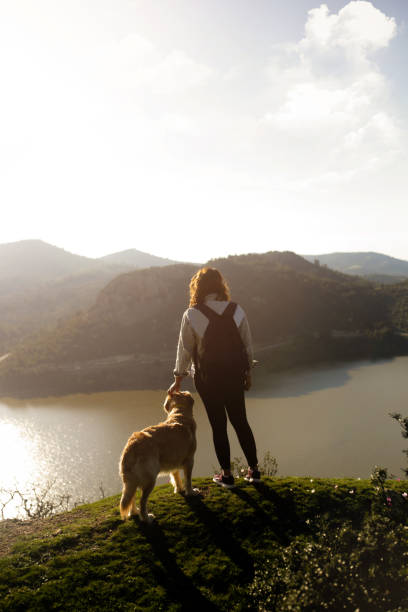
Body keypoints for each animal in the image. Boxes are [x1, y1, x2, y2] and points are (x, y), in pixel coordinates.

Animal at [118, 392, 198, 520]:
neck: (179, 414)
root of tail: (132, 445)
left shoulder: (174, 462)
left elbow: (176, 477)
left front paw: (179, 489)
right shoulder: (190, 460)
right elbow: (188, 480)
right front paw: (191, 492)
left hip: (131, 481)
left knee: (131, 498)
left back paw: (134, 512)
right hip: (150, 479)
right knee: (142, 501)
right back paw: (147, 518)